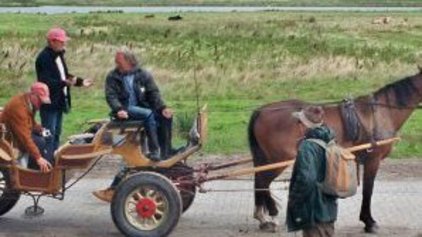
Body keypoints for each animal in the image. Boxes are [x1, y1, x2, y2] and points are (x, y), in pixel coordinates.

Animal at [247, 69, 422, 233]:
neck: (381, 114)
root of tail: (261, 110)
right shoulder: (373, 160)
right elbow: (368, 190)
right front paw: (369, 222)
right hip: (278, 159)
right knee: (263, 182)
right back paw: (270, 216)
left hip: (267, 158)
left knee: (259, 180)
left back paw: (263, 216)